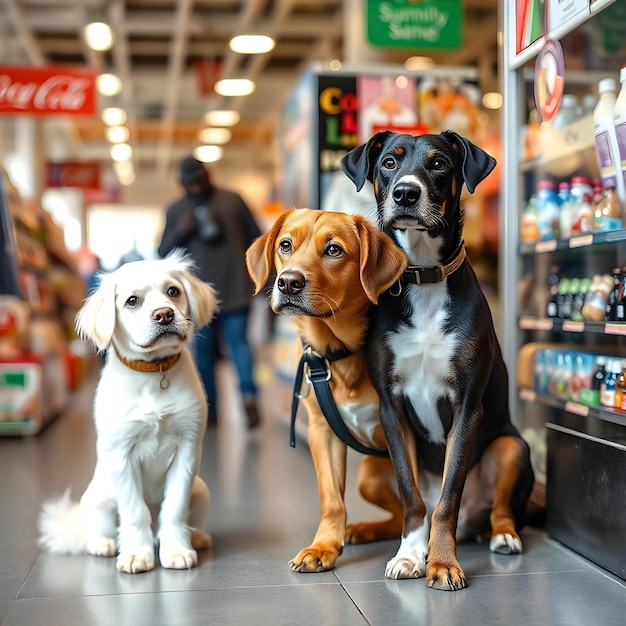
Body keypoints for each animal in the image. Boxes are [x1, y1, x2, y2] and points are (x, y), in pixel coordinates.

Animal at [37, 251, 217, 572]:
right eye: (132, 301)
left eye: (173, 291)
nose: (164, 314)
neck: (153, 373)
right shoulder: (121, 454)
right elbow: (135, 512)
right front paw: (136, 554)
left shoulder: (188, 448)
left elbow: (174, 509)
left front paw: (175, 550)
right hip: (99, 497)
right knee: (101, 527)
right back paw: (104, 544)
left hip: (201, 490)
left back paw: (195, 538)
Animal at [246, 207, 408, 568]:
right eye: (285, 245)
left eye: (334, 250)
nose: (288, 282)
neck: (339, 352)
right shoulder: (322, 431)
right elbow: (332, 498)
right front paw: (324, 546)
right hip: (369, 477)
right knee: (397, 517)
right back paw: (364, 530)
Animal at [342, 129, 532, 588]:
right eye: (389, 163)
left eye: (439, 163)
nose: (406, 193)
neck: (423, 278)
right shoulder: (391, 406)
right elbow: (412, 496)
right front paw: (411, 555)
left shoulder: (467, 406)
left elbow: (448, 497)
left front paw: (443, 562)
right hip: (370, 468)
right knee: (403, 508)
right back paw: (368, 531)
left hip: (511, 447)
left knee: (499, 509)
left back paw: (503, 536)